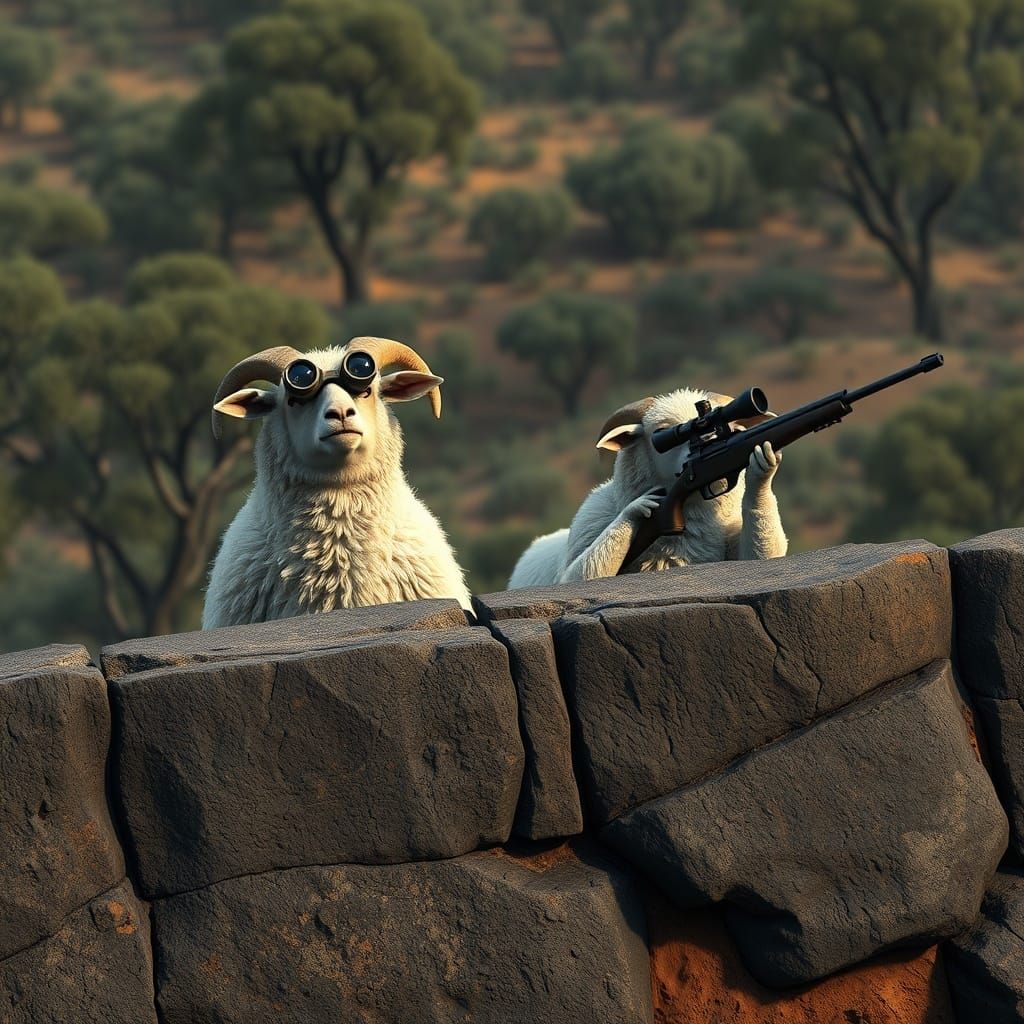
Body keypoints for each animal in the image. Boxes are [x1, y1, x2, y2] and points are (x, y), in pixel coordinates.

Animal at [507, 388, 787, 588]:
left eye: (735, 429)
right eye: (661, 431)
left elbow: (763, 555)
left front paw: (762, 467)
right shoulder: (586, 528)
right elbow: (577, 577)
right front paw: (637, 508)